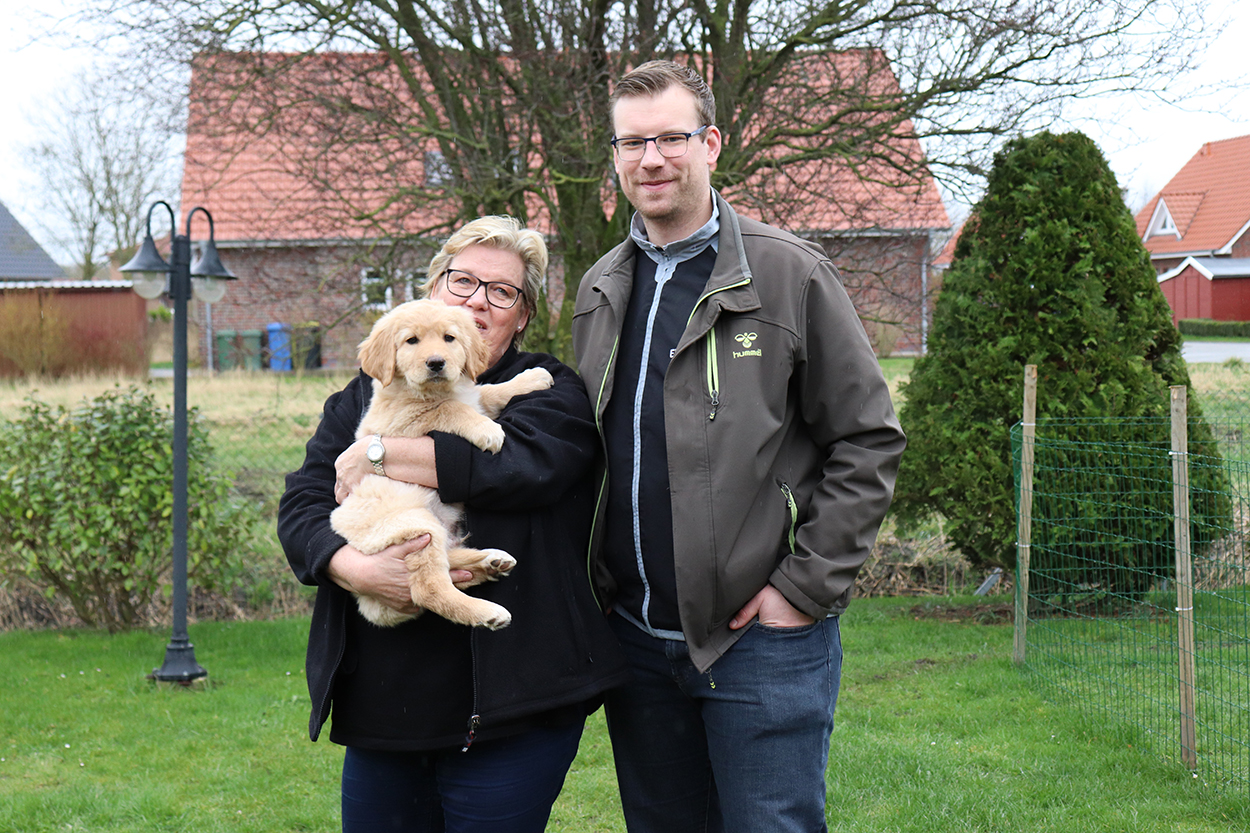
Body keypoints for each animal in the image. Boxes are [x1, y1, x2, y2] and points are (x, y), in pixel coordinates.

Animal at [330, 298, 553, 629]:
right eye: (411, 341)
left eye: (449, 338)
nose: (436, 363)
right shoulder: (401, 419)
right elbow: (447, 409)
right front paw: (486, 430)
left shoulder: (473, 396)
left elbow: (486, 391)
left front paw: (532, 378)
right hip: (415, 525)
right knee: (428, 588)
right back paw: (488, 611)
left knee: (450, 563)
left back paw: (490, 561)